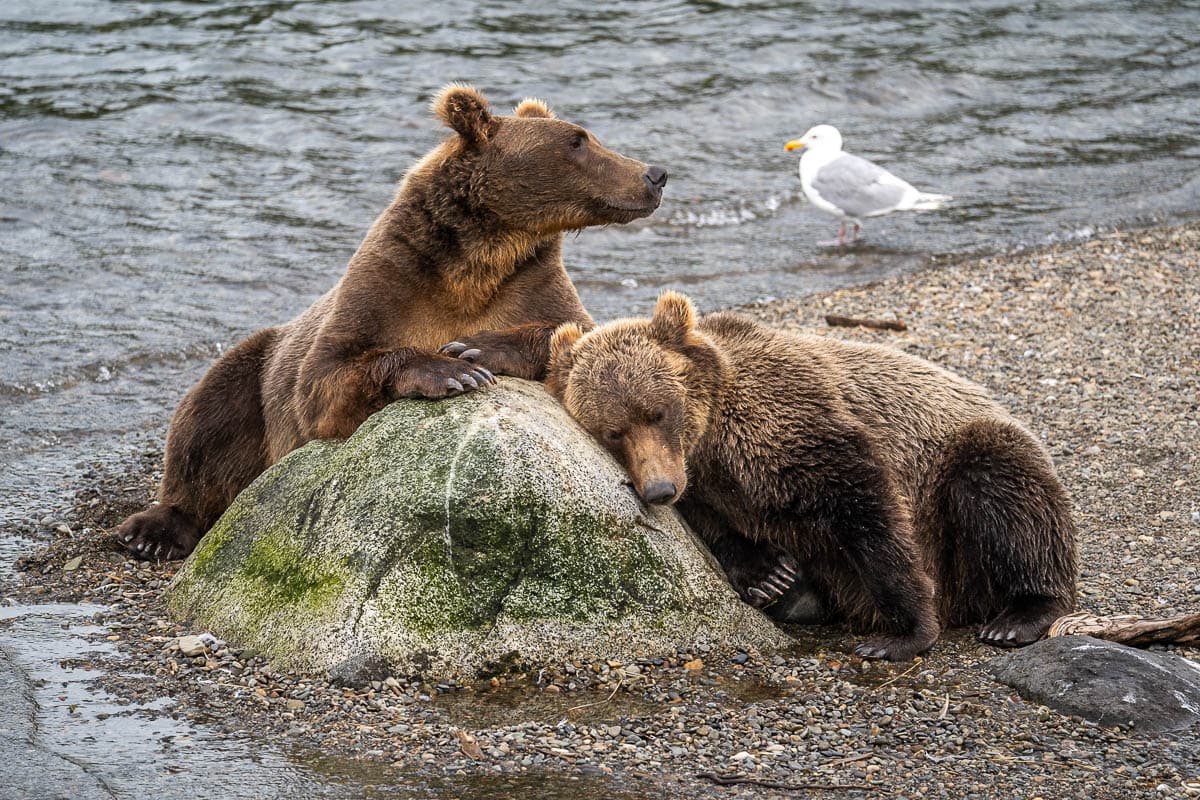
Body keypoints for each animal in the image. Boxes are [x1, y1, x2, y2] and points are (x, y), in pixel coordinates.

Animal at [117, 79, 672, 556]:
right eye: (577, 141)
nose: (654, 174)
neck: (483, 254)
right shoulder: (392, 279)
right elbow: (325, 378)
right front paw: (452, 370)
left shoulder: (530, 281)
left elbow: (577, 339)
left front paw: (476, 346)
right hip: (259, 366)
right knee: (209, 414)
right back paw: (152, 531)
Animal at [549, 291, 1084, 662]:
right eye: (613, 431)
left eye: (658, 412)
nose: (659, 489)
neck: (713, 437)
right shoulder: (707, 482)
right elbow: (718, 526)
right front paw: (768, 575)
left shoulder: (790, 425)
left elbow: (863, 504)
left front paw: (903, 632)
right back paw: (797, 596)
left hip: (960, 485)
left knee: (1002, 491)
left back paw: (1020, 615)